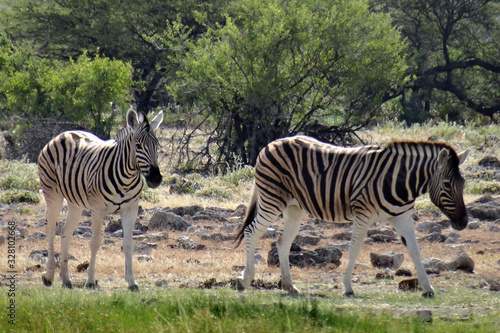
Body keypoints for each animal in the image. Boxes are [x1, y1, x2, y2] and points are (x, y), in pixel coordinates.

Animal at [37, 109, 162, 290]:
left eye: (157, 145)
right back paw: (48, 275)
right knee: (51, 230)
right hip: (52, 193)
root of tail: (64, 133)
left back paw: (66, 279)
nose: (156, 179)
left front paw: (132, 282)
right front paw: (90, 281)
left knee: (66, 232)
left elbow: (128, 244)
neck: (127, 176)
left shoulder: (131, 210)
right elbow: (95, 243)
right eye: (138, 145)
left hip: (75, 203)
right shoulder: (97, 209)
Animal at [234, 134, 468, 296]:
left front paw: (428, 288)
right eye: (447, 184)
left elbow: (415, 251)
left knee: (282, 242)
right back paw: (245, 279)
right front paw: (347, 287)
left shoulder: (402, 217)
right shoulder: (363, 214)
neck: (399, 181)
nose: (463, 222)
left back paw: (289, 286)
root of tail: (271, 143)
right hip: (272, 199)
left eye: (463, 184)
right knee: (251, 231)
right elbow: (354, 248)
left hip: (294, 208)